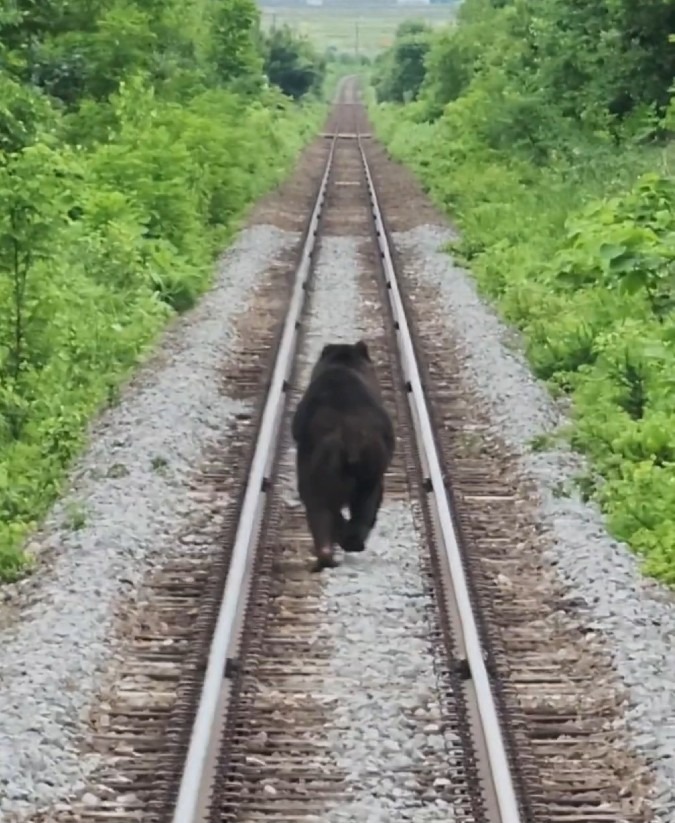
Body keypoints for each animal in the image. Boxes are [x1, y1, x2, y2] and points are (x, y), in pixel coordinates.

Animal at [290, 342, 396, 572]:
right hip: (368, 464)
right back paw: (347, 542)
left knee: (322, 505)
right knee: (363, 502)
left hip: (329, 462)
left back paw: (330, 551)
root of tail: (351, 440)